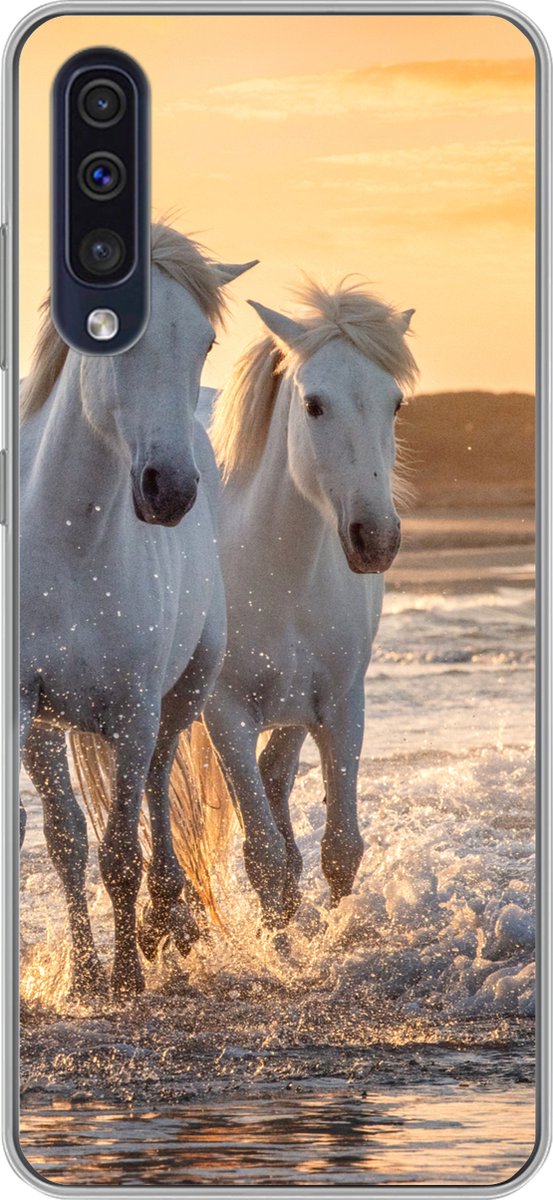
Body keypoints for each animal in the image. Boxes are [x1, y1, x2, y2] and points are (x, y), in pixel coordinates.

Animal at [20, 224, 257, 996]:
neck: (71, 543)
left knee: (156, 787)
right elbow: (66, 841)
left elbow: (123, 848)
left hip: (180, 696)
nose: (169, 489)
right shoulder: (29, 714)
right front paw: (88, 978)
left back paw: (166, 919)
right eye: (106, 333)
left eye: (205, 341)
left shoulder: (131, 710)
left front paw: (125, 975)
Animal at [203, 281, 418, 928]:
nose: (376, 539)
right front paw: (282, 948)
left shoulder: (342, 705)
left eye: (395, 404)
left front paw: (336, 938)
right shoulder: (225, 716)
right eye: (314, 405)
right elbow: (266, 861)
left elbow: (342, 848)